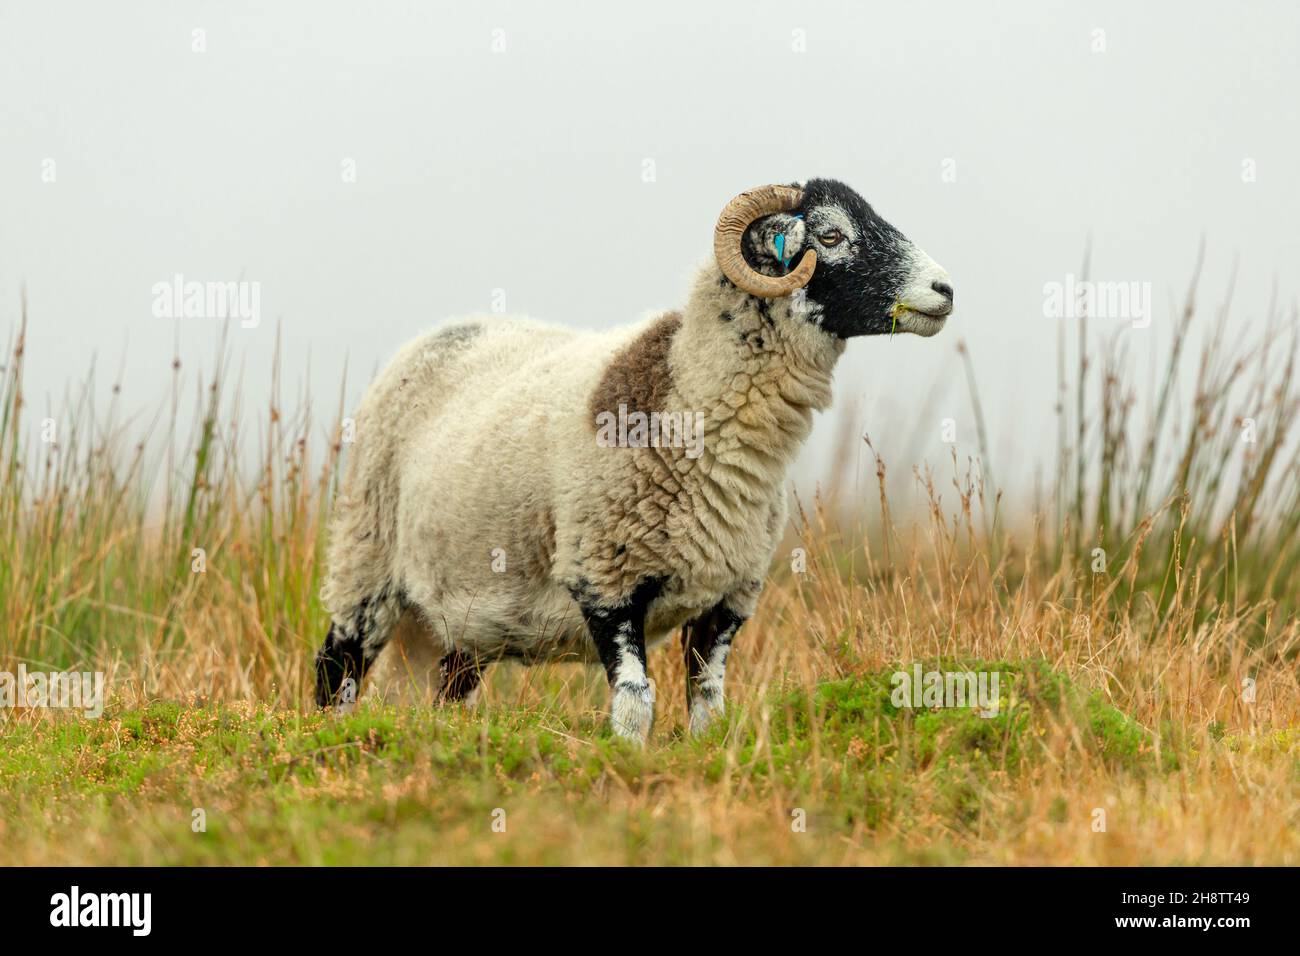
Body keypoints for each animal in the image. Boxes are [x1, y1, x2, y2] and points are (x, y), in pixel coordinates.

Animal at [309, 180, 951, 749]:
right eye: (832, 234)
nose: (945, 289)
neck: (692, 402)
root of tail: (434, 336)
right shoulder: (604, 578)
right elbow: (636, 702)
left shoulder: (728, 598)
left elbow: (709, 707)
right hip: (365, 560)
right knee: (335, 667)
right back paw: (326, 733)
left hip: (467, 613)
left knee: (447, 689)